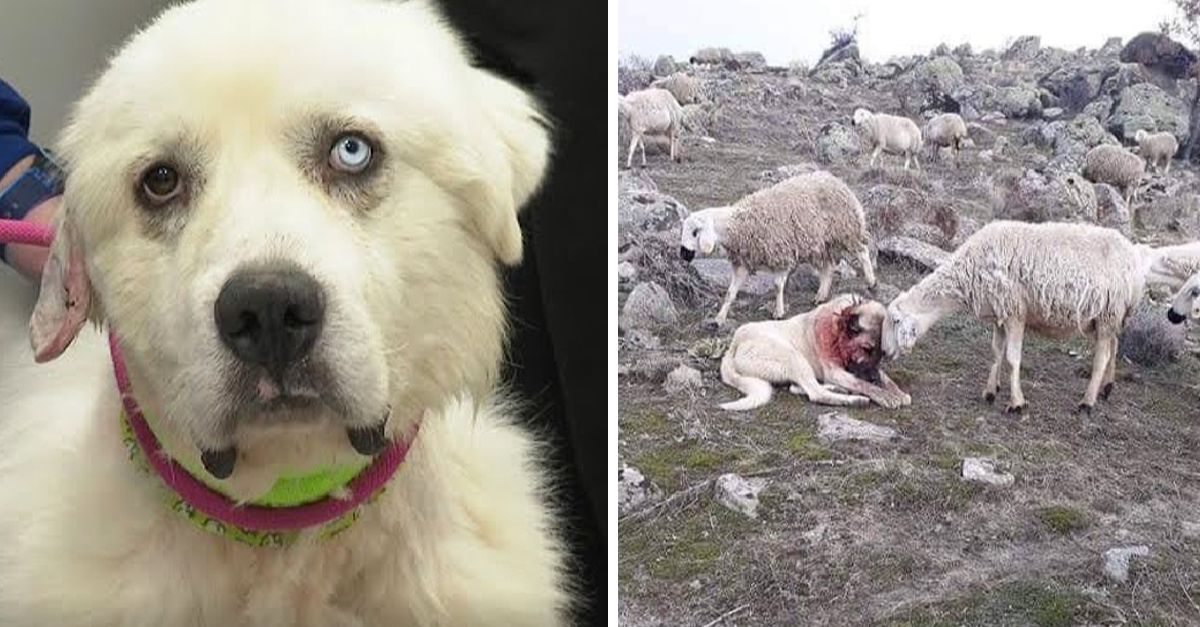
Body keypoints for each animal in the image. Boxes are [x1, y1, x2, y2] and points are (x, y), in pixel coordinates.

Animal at [681, 170, 878, 326]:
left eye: (695, 232)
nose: (683, 254)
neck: (738, 224)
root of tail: (836, 180)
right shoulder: (743, 262)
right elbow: (731, 293)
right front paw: (719, 318)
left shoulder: (781, 254)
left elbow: (777, 286)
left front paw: (778, 312)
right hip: (820, 244)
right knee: (827, 268)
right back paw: (821, 295)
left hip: (846, 230)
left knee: (862, 251)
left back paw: (871, 281)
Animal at [720, 293, 907, 410]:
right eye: (866, 349)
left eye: (882, 353)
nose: (874, 378)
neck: (836, 330)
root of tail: (734, 344)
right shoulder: (836, 373)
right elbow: (862, 383)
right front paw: (884, 395)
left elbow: (884, 377)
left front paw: (898, 391)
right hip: (793, 357)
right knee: (816, 393)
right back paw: (854, 400)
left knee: (798, 387)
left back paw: (838, 389)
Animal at [883, 217, 1142, 413]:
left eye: (895, 321)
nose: (884, 352)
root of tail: (1133, 257)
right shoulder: (1000, 314)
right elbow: (996, 353)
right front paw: (990, 391)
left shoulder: (1015, 313)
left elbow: (1012, 358)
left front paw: (1016, 403)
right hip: (1105, 318)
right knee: (1113, 347)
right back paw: (1107, 388)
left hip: (1108, 314)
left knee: (1102, 358)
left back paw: (1087, 402)